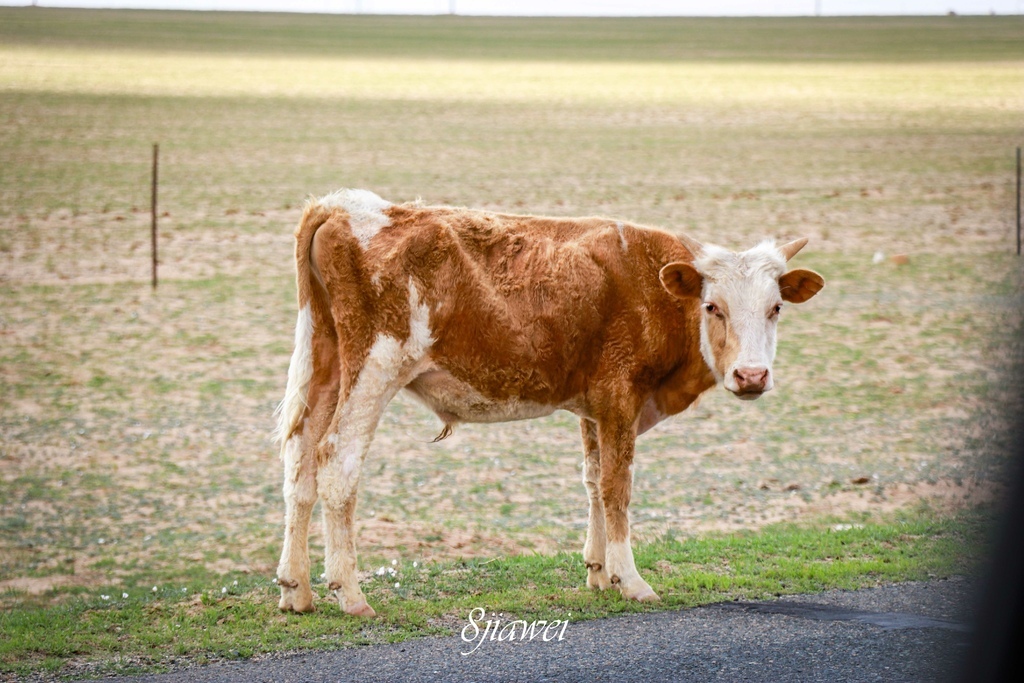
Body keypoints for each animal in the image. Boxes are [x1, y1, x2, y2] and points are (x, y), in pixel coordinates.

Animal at [274, 189, 823, 618]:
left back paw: (296, 589)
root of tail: (346, 204)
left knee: (300, 463)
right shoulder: (620, 397)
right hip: (374, 367)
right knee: (336, 461)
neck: (654, 287)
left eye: (775, 308)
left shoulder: (594, 408)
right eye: (713, 307)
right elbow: (617, 486)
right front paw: (632, 581)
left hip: (326, 363)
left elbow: (594, 481)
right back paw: (350, 593)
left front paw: (599, 573)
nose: (751, 375)